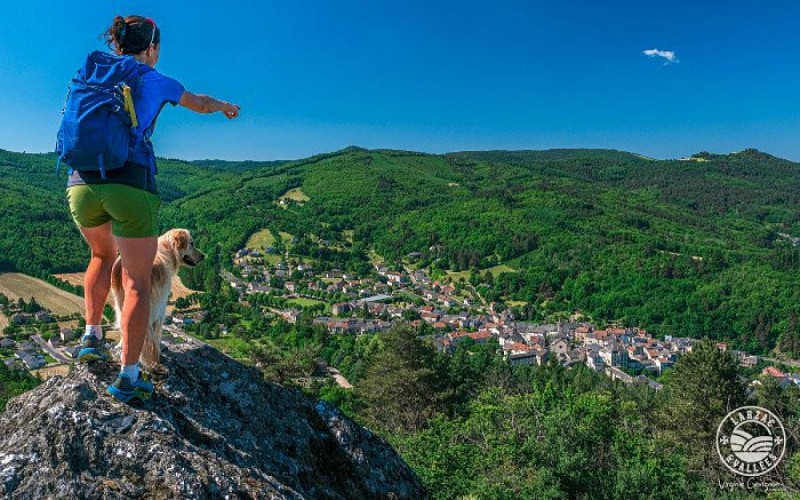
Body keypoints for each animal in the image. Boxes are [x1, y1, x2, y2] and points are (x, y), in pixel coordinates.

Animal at [111, 229, 205, 370]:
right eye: (192, 243)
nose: (203, 256)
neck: (167, 251)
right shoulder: (160, 308)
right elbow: (157, 333)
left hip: (120, 303)